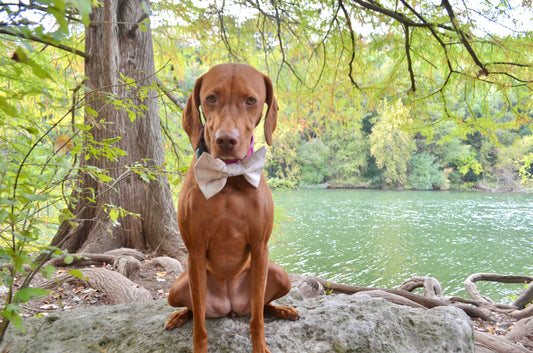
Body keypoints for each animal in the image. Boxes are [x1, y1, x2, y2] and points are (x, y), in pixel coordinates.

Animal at [165, 64, 300, 352]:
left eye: (251, 100)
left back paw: (282, 310)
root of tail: (229, 307)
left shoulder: (260, 247)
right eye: (211, 98)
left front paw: (260, 346)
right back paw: (179, 315)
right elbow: (200, 327)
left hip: (279, 275)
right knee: (193, 310)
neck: (228, 176)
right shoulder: (194, 252)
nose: (226, 140)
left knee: (262, 306)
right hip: (178, 287)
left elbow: (257, 319)